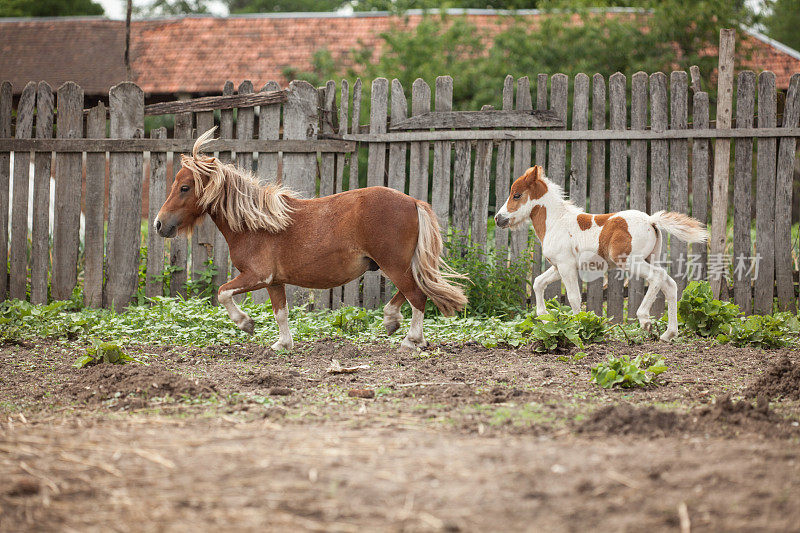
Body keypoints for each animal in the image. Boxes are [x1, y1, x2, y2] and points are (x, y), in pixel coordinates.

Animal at [155, 128, 468, 350]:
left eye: (185, 187)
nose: (159, 224)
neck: (256, 225)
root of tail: (413, 202)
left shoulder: (257, 276)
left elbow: (222, 292)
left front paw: (246, 324)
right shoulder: (275, 282)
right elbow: (280, 312)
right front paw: (282, 344)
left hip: (393, 264)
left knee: (417, 294)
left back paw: (411, 340)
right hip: (397, 264)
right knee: (415, 290)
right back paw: (394, 322)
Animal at [496, 166, 708, 340]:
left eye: (516, 195)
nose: (498, 219)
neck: (556, 222)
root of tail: (651, 220)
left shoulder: (566, 266)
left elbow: (574, 297)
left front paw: (577, 327)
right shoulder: (558, 267)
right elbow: (538, 283)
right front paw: (545, 318)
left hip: (630, 262)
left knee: (658, 277)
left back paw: (645, 320)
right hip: (650, 259)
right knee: (669, 284)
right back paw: (668, 333)